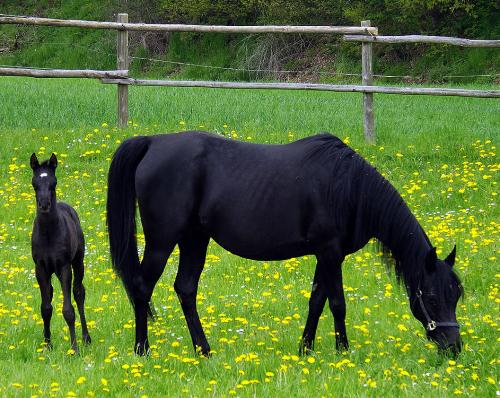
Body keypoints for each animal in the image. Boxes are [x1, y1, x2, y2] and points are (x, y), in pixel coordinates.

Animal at [30, 154, 91, 352]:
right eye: (34, 183)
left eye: (53, 182)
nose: (44, 204)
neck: (49, 233)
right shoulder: (40, 269)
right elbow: (45, 308)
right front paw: (47, 345)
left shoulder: (64, 267)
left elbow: (68, 310)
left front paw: (74, 348)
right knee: (50, 294)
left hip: (78, 262)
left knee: (79, 293)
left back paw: (86, 338)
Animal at [107, 133, 462, 358]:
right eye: (431, 297)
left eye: (456, 295)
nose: (454, 348)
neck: (348, 186)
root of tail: (153, 142)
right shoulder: (330, 252)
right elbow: (338, 304)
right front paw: (343, 352)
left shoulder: (326, 255)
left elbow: (317, 301)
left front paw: (305, 350)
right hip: (162, 241)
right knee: (141, 287)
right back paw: (142, 350)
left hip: (195, 239)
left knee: (185, 289)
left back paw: (204, 351)